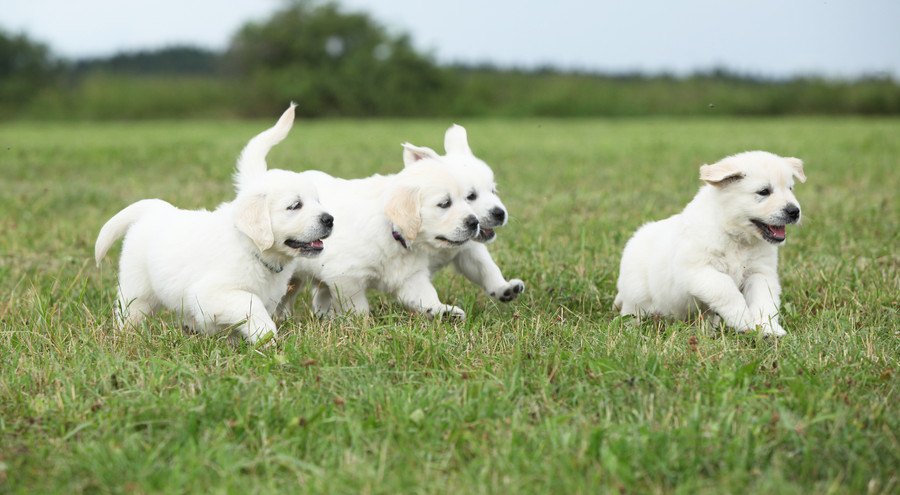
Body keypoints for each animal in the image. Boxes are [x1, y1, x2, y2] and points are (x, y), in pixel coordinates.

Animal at [93, 103, 332, 344]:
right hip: (136, 289)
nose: (329, 220)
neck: (252, 250)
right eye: (295, 205)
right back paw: (127, 337)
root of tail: (154, 209)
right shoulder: (212, 293)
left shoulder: (269, 296)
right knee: (130, 313)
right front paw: (268, 338)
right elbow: (251, 305)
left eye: (318, 201)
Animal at [616, 151, 804, 338]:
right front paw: (744, 321)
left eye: (790, 189)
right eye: (764, 191)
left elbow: (765, 301)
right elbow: (726, 289)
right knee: (632, 312)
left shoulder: (759, 273)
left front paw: (768, 329)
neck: (736, 237)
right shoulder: (697, 270)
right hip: (636, 294)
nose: (794, 211)